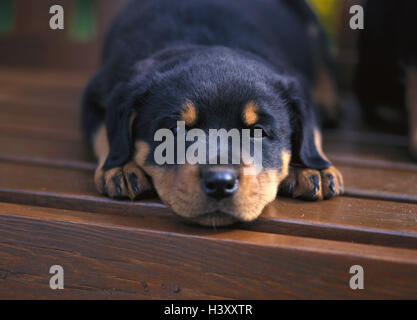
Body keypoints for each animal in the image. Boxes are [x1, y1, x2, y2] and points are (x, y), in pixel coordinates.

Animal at [80, 0, 342, 226]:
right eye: (174, 130)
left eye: (258, 131)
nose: (219, 183)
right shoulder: (98, 92)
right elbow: (105, 132)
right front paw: (122, 167)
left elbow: (311, 132)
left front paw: (313, 167)